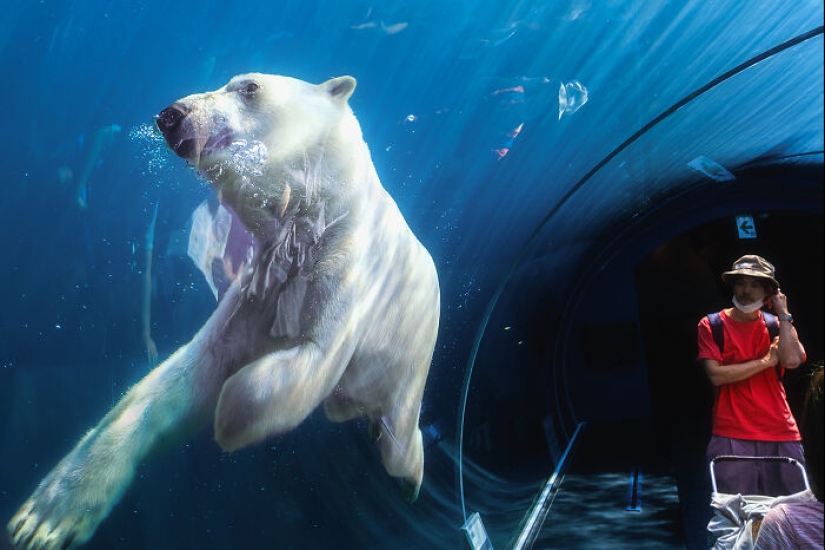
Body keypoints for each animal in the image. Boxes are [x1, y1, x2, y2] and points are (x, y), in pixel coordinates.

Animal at [8, 73, 440, 550]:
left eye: (249, 86)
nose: (171, 115)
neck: (315, 214)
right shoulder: (262, 282)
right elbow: (190, 370)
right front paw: (44, 518)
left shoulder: (344, 266)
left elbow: (313, 354)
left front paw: (228, 415)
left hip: (412, 353)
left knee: (399, 428)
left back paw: (408, 473)